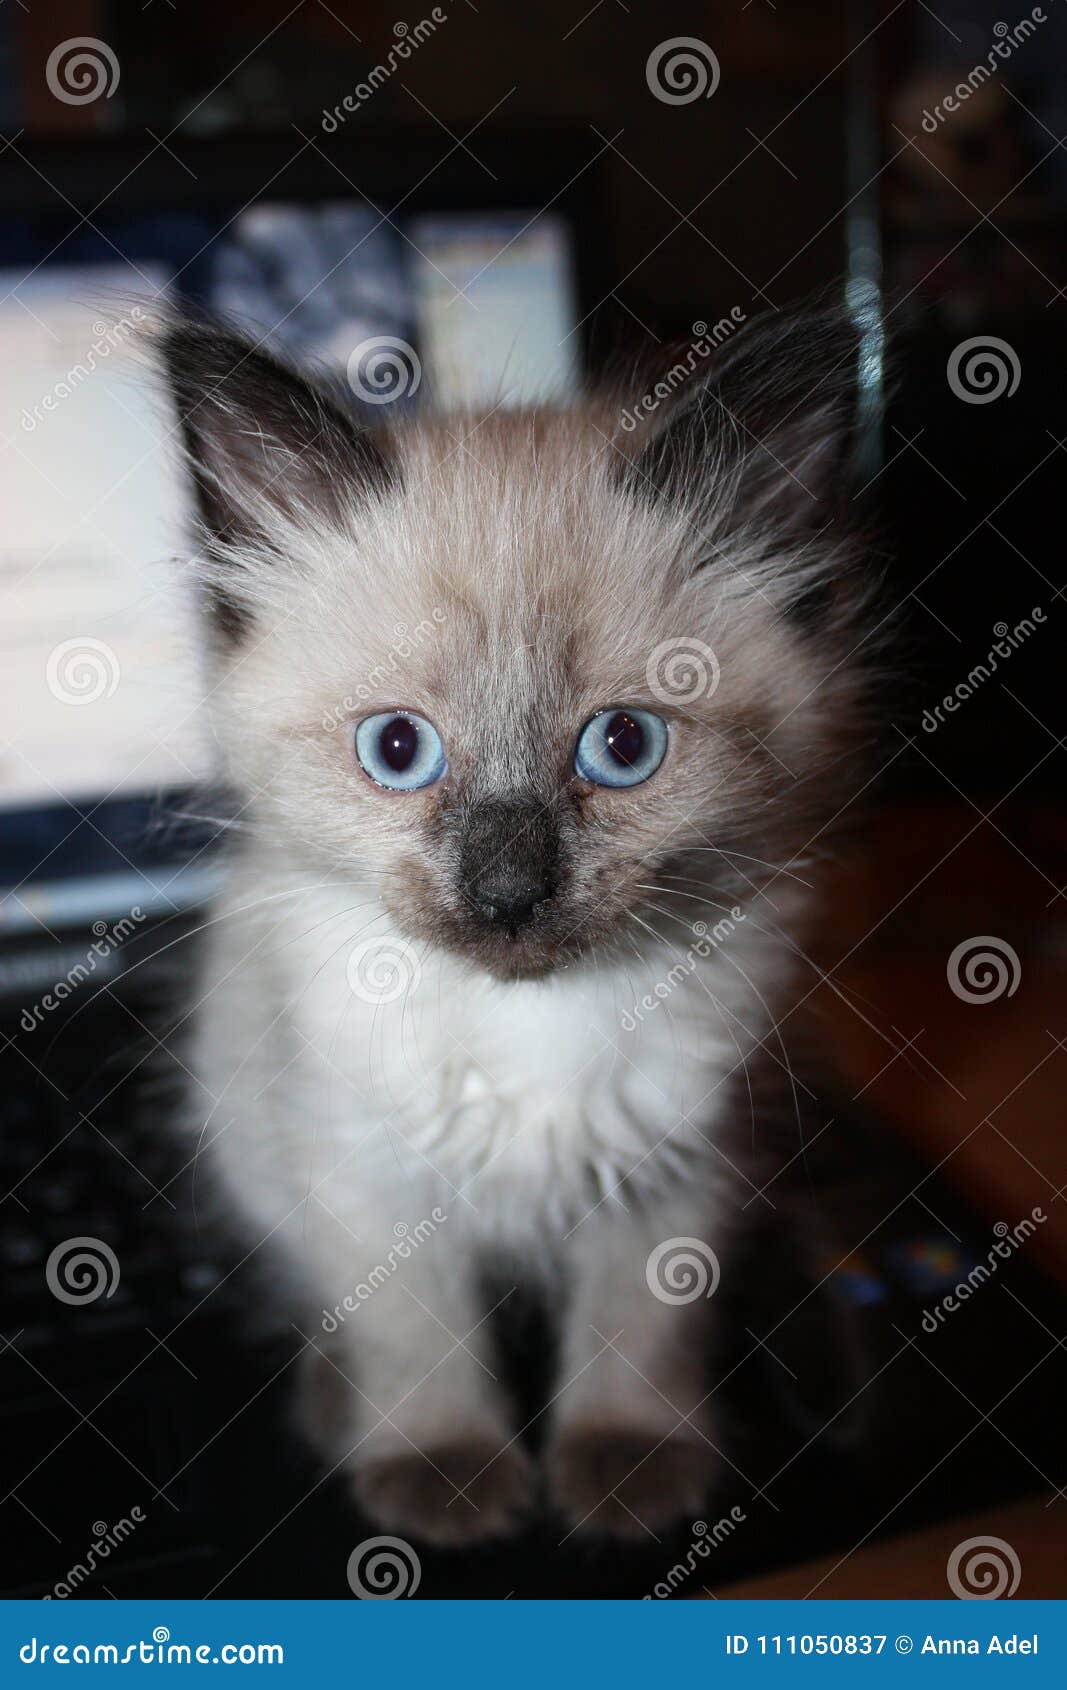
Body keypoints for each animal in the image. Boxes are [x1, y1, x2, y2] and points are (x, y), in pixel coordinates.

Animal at [160, 304, 879, 1548]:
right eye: (397, 749)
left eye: (622, 747)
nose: (505, 891)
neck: (528, 1029)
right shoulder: (364, 1168)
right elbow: (414, 1333)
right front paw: (443, 1476)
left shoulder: (675, 1162)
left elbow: (640, 1325)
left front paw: (627, 1468)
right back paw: (334, 1407)